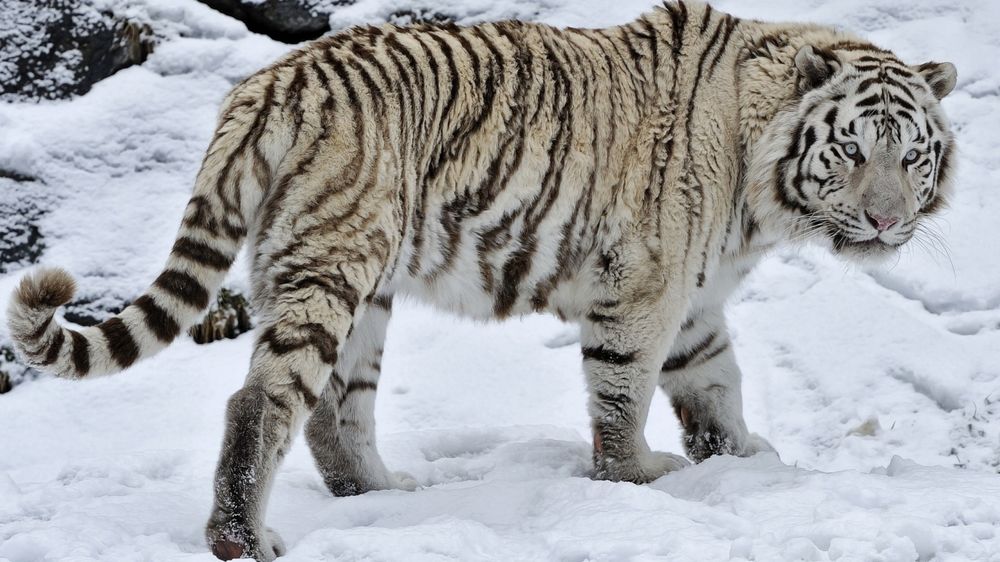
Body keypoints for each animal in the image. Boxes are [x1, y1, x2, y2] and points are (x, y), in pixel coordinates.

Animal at [6, 1, 957, 559]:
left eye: (911, 155)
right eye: (851, 150)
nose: (885, 221)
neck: (761, 182)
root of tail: (269, 82)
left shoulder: (695, 299)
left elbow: (716, 383)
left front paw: (745, 461)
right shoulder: (644, 286)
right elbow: (626, 390)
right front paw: (638, 476)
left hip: (356, 286)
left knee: (334, 407)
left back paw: (377, 493)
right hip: (333, 264)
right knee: (262, 400)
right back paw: (244, 537)